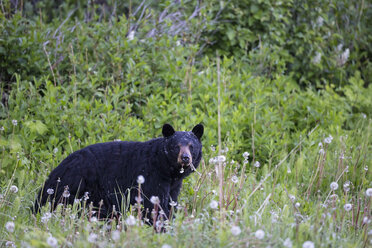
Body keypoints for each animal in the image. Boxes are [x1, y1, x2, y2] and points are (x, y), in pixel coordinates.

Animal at [34, 124, 203, 223]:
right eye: (176, 146)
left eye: (191, 146)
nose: (185, 158)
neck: (166, 168)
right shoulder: (151, 177)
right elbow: (155, 203)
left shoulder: (173, 184)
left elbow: (170, 201)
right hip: (75, 187)